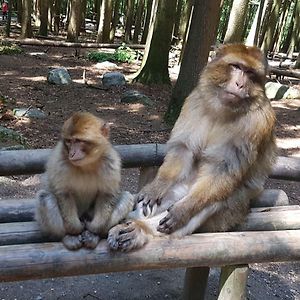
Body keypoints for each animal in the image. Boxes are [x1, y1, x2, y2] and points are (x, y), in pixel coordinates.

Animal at [35, 111, 134, 250]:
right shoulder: (59, 162)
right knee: (44, 197)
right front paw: (75, 229)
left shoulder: (111, 162)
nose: (71, 153)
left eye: (78, 140)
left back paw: (95, 235)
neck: (87, 165)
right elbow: (63, 194)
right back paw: (68, 236)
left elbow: (107, 194)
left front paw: (94, 228)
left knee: (126, 197)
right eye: (69, 141)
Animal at [108, 43, 276, 252]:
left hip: (231, 212)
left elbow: (223, 169)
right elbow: (183, 149)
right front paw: (156, 187)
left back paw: (141, 229)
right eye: (236, 67)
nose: (240, 84)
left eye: (251, 74)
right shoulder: (195, 101)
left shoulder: (257, 123)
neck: (223, 110)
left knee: (217, 198)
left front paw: (182, 211)